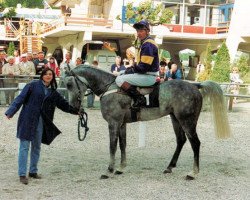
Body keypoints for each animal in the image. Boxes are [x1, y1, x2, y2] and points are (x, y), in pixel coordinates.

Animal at [64, 65, 230, 180]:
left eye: (69, 84)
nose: (72, 107)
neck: (110, 88)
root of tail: (195, 85)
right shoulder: (121, 124)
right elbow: (122, 145)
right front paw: (121, 168)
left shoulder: (113, 123)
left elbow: (112, 146)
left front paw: (109, 170)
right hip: (175, 119)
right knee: (181, 140)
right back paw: (170, 167)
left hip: (187, 121)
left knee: (195, 143)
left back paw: (193, 173)